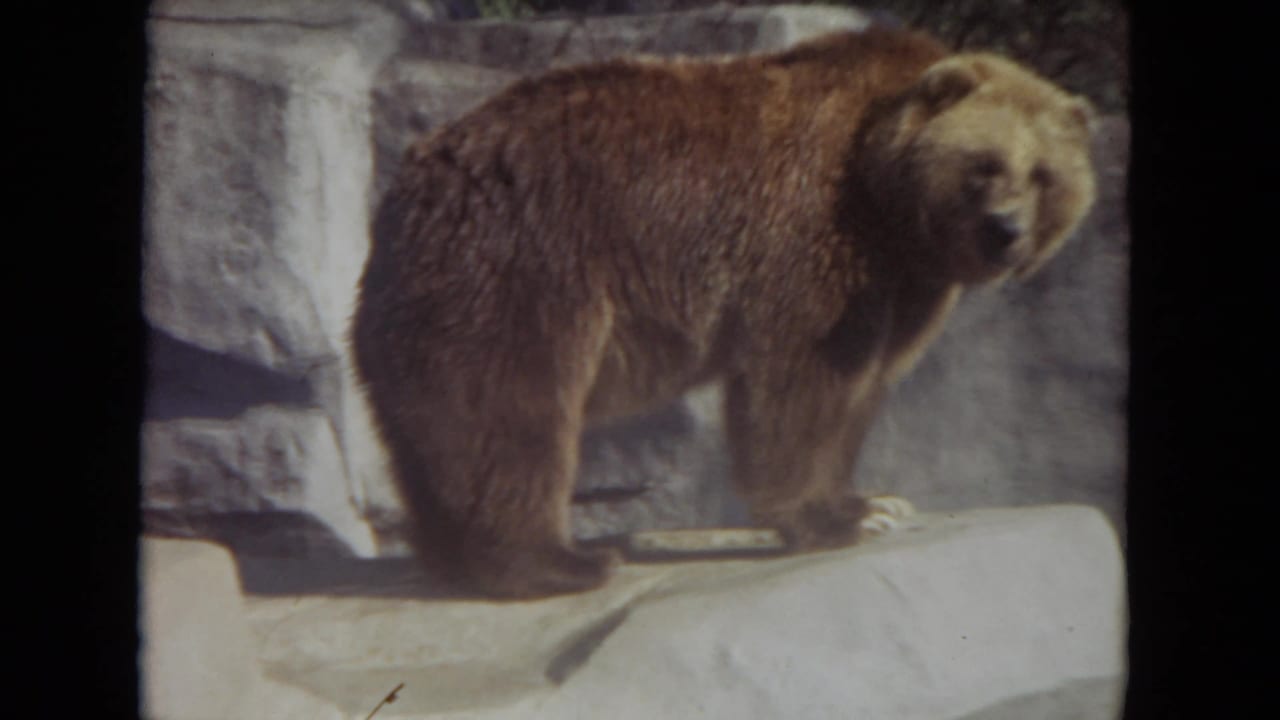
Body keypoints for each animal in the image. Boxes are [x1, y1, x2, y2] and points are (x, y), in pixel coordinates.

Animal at [351, 27, 1098, 599]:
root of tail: (409, 184)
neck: (888, 201)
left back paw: (452, 558)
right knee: (511, 415)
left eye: (1043, 175)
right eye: (984, 164)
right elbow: (801, 377)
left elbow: (863, 386)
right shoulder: (816, 233)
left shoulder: (903, 281)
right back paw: (564, 561)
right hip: (519, 269)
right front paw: (831, 520)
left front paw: (872, 502)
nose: (1005, 231)